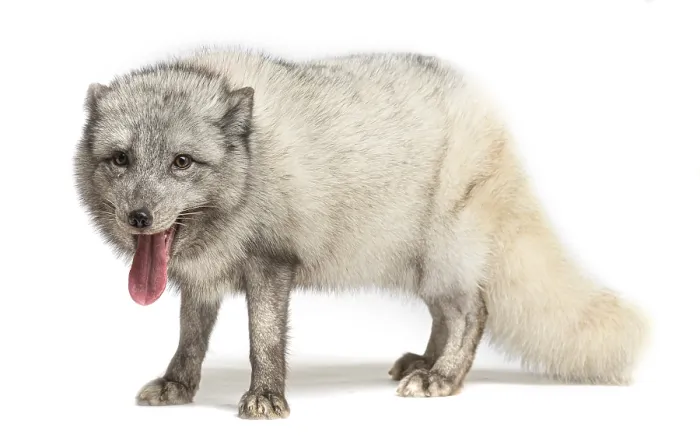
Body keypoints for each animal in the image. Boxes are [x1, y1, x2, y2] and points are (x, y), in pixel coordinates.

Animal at [74, 48, 650, 419]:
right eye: (121, 159)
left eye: (182, 162)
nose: (139, 218)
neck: (253, 166)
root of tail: (493, 120)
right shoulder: (201, 276)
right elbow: (190, 338)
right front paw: (178, 386)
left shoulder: (271, 263)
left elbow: (265, 340)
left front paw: (266, 398)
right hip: (419, 263)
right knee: (446, 313)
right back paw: (425, 362)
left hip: (444, 253)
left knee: (474, 311)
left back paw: (443, 377)